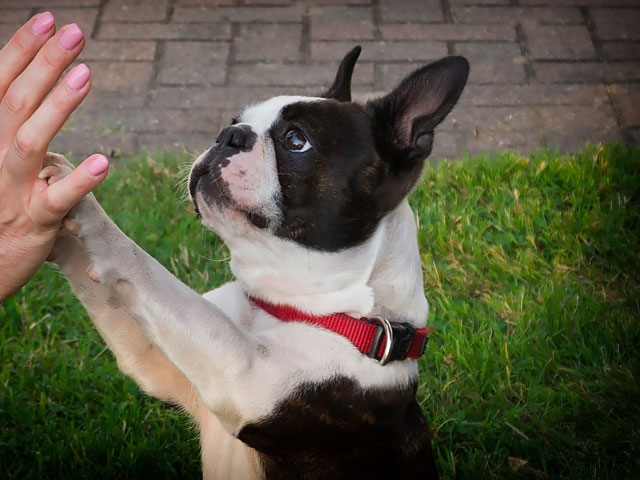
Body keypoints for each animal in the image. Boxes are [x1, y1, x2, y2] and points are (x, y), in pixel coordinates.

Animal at [43, 46, 464, 480]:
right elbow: (109, 292)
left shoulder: (244, 374)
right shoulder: (155, 361)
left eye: (296, 140)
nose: (229, 135)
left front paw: (87, 210)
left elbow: (148, 270)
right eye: (233, 121)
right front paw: (55, 205)